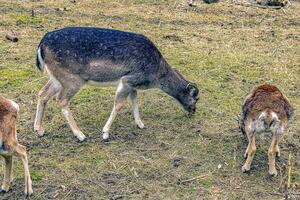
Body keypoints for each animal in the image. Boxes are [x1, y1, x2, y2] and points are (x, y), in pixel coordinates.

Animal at [33, 27, 199, 142]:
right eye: (195, 98)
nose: (193, 111)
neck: (155, 75)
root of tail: (41, 45)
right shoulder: (128, 79)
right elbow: (119, 105)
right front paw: (105, 133)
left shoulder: (133, 83)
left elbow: (135, 101)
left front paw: (140, 124)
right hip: (72, 78)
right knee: (61, 100)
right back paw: (80, 135)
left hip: (57, 77)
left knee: (42, 94)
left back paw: (39, 129)